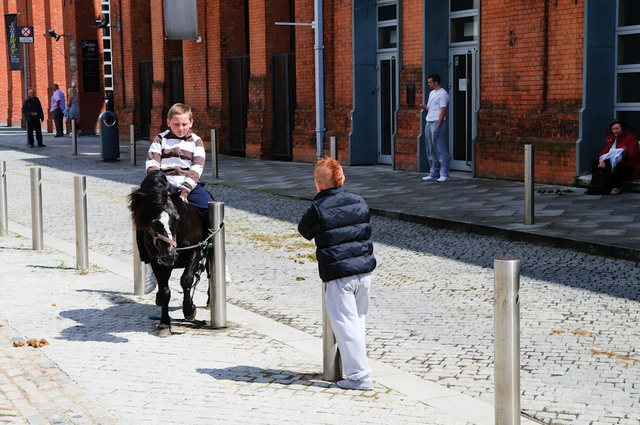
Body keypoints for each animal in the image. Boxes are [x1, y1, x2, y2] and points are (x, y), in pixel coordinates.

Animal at [129, 171, 211, 336]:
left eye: (177, 218)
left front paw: (189, 310)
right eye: (152, 222)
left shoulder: (195, 252)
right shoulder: (157, 261)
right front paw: (164, 324)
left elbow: (186, 280)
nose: (170, 255)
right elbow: (164, 291)